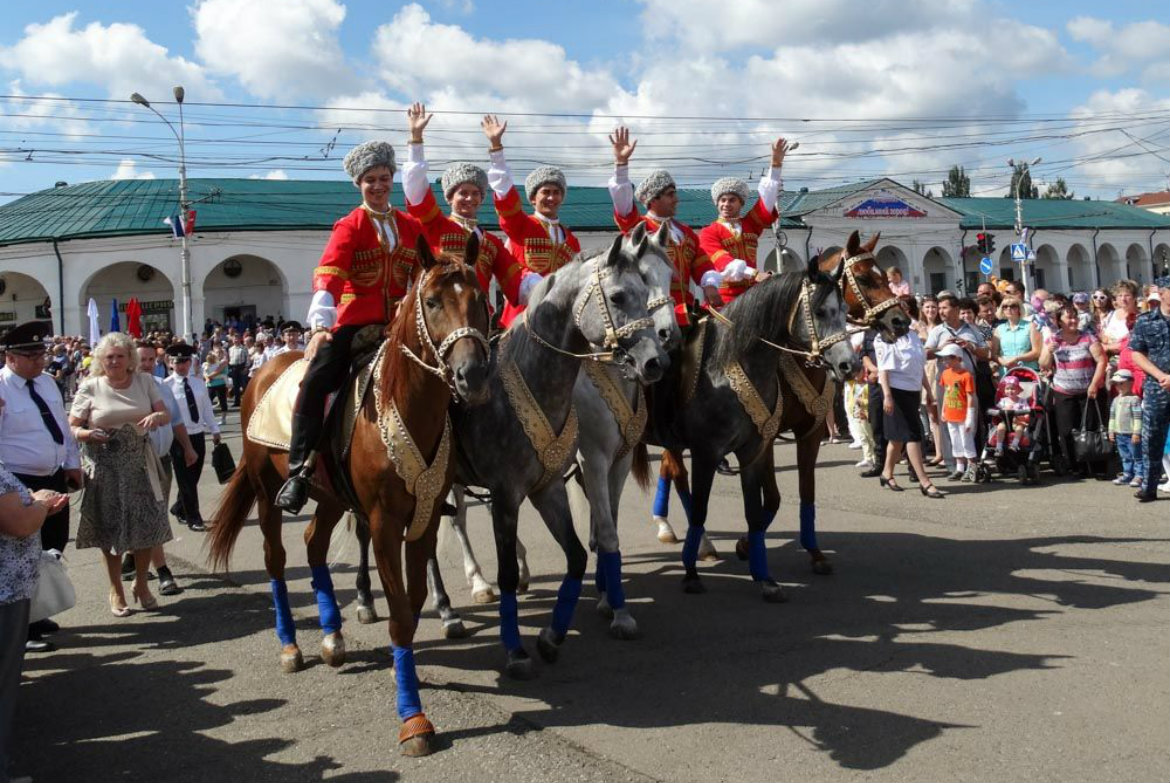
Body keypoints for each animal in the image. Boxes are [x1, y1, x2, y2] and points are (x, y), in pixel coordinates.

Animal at [205, 235, 489, 753]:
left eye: (480, 298)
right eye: (433, 301)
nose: (472, 376)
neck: (403, 404)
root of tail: (265, 369)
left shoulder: (425, 516)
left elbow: (413, 602)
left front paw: (406, 670)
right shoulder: (382, 522)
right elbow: (398, 611)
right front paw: (413, 717)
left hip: (332, 498)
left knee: (313, 545)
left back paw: (333, 639)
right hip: (267, 491)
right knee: (277, 560)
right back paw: (291, 646)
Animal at [650, 225, 903, 573]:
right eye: (865, 278)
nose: (901, 321)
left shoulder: (810, 433)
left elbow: (806, 492)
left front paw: (814, 552)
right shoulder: (766, 437)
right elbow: (772, 498)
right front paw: (746, 543)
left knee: (667, 468)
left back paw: (667, 525)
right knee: (678, 473)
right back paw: (694, 539)